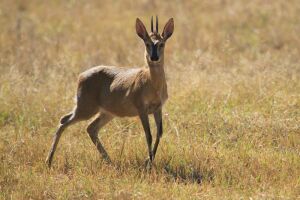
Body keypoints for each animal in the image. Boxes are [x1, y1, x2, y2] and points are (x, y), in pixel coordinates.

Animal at [45, 16, 175, 168]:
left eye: (161, 43)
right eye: (147, 43)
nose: (154, 57)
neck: (152, 84)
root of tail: (81, 76)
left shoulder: (158, 108)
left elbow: (159, 133)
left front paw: (149, 160)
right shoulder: (142, 109)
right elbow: (148, 135)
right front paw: (148, 163)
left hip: (107, 113)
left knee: (90, 128)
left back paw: (109, 160)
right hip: (86, 108)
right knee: (64, 121)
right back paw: (48, 161)